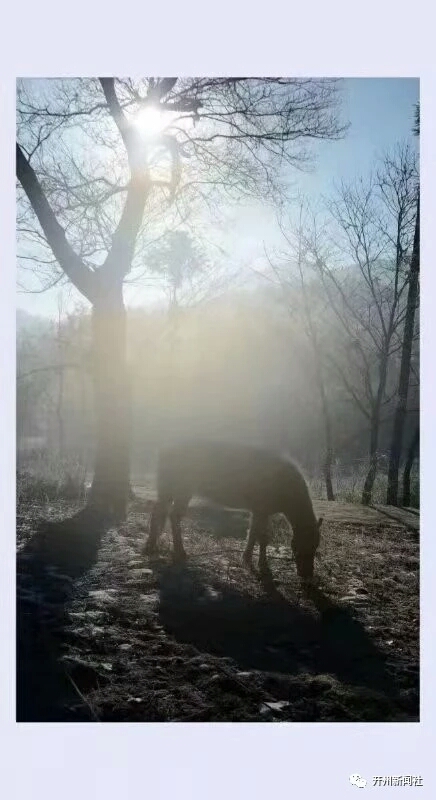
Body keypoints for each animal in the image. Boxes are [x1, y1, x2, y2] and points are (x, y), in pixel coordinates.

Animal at [141, 440, 322, 580]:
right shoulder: (260, 510)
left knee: (160, 512)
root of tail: (165, 449)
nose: (307, 574)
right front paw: (258, 564)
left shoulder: (261, 512)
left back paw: (151, 546)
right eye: (301, 544)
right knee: (173, 515)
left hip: (169, 490)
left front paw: (252, 560)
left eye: (316, 546)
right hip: (181, 490)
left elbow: (256, 535)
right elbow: (260, 536)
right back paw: (179, 551)